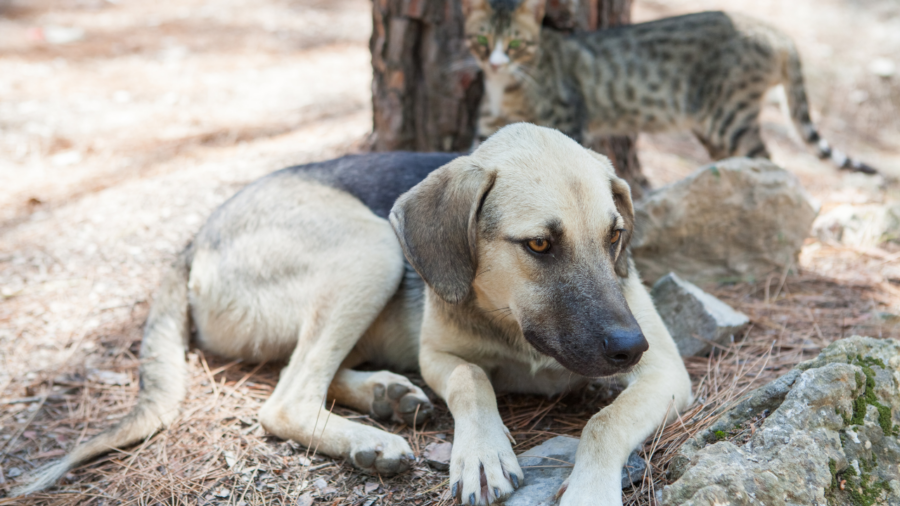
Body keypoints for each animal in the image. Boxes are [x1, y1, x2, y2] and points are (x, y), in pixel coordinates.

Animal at [12, 123, 688, 506]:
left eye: (615, 236)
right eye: (540, 245)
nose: (629, 346)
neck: (518, 328)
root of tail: (199, 235)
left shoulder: (667, 373)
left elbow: (604, 422)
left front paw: (590, 489)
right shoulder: (440, 355)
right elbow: (473, 381)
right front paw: (482, 451)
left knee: (309, 373)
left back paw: (387, 397)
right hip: (373, 246)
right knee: (286, 397)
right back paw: (371, 437)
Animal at [464, 0, 880, 174]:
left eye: (515, 43)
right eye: (481, 40)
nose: (494, 62)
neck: (508, 82)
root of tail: (777, 32)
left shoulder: (566, 119)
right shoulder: (486, 128)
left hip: (729, 119)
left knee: (769, 161)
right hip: (714, 130)